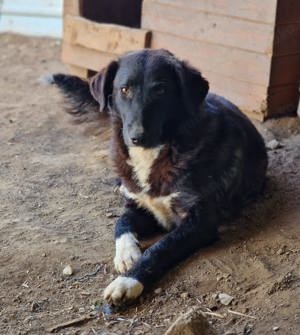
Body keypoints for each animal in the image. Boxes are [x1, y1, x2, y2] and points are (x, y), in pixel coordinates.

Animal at [49, 49, 268, 304]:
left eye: (161, 90)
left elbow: (161, 247)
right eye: (124, 89)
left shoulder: (200, 222)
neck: (157, 152)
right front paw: (127, 253)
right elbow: (120, 222)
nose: (137, 137)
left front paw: (128, 281)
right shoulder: (138, 206)